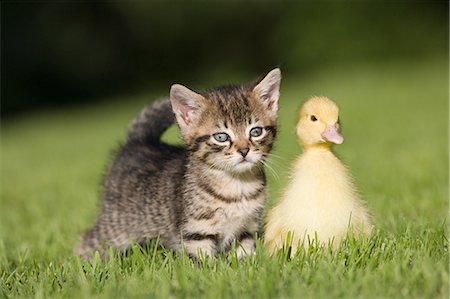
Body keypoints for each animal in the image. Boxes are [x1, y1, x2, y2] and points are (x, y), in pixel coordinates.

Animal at [77, 69, 282, 258]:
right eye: (221, 137)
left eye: (255, 132)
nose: (244, 150)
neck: (237, 186)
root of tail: (139, 140)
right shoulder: (197, 232)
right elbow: (202, 264)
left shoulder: (246, 230)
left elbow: (244, 257)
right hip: (115, 229)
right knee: (86, 239)